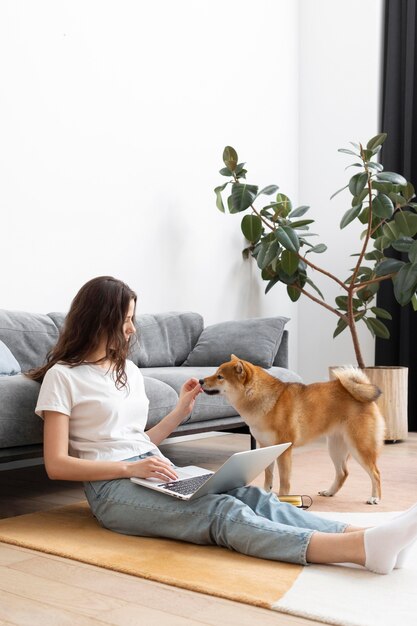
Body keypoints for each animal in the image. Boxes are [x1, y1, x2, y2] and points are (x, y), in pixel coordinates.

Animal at [200, 356, 386, 502]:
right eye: (215, 373)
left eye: (220, 376)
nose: (201, 381)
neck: (265, 401)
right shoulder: (266, 446)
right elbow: (269, 475)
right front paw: (266, 493)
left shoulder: (284, 449)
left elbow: (284, 479)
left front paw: (282, 497)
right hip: (335, 447)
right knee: (343, 473)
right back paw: (330, 492)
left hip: (359, 447)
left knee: (376, 473)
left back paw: (375, 497)